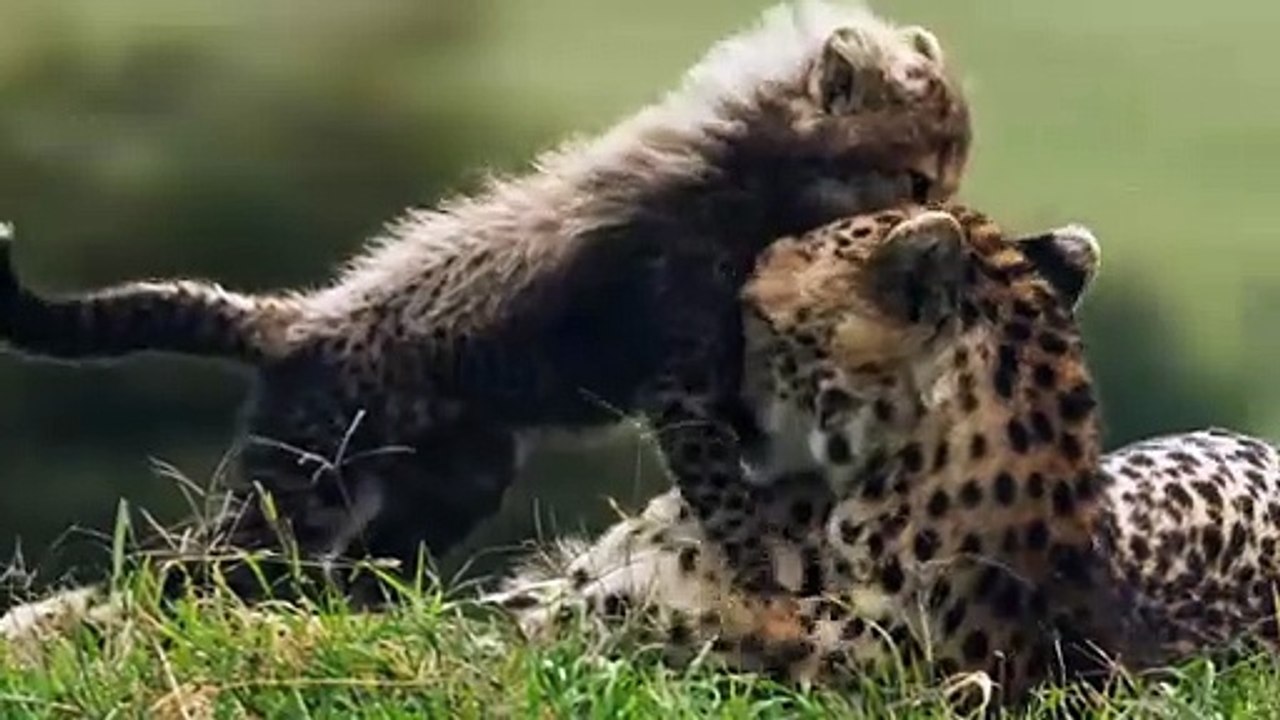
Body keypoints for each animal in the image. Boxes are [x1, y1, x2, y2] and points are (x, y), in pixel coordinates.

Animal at [0, 1, 970, 601]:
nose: (949, 217)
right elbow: (726, 500)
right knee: (193, 576)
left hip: (455, 477)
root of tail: (298, 319)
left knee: (354, 572)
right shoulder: (682, 384)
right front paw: (763, 585)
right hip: (301, 486)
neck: (758, 174)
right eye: (918, 175)